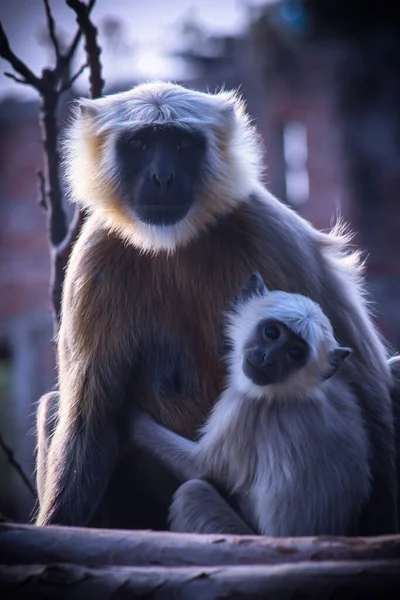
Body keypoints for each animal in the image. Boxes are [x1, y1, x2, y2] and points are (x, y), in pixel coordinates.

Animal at [132, 274, 372, 536]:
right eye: (271, 332)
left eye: (295, 353)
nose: (269, 359)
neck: (296, 391)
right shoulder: (341, 390)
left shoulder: (244, 407)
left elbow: (201, 467)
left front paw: (130, 417)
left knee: (192, 492)